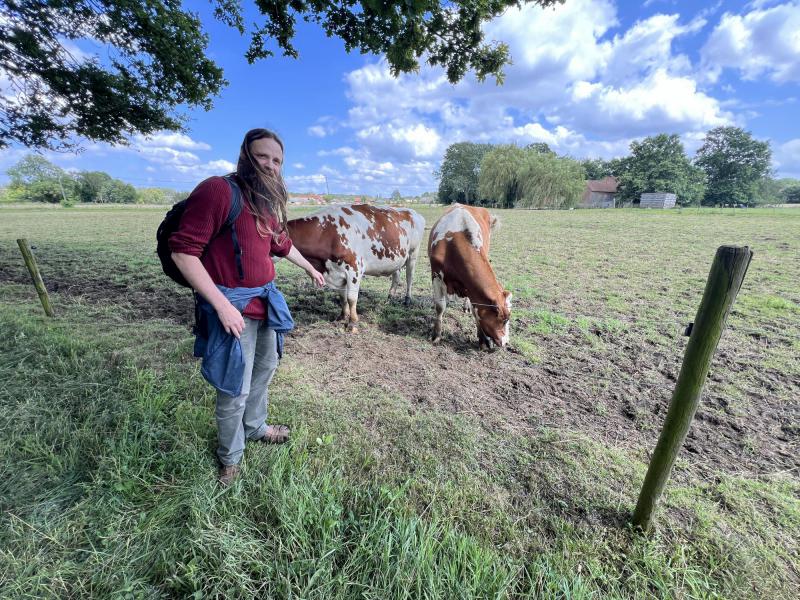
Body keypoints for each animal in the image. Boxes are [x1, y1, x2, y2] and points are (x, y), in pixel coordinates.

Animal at [288, 204, 424, 330]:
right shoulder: (338, 272)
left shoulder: (354, 270)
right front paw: (342, 316)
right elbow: (342, 297)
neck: (326, 231)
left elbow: (351, 298)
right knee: (396, 277)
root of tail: (412, 212)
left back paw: (407, 299)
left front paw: (352, 322)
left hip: (413, 254)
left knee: (409, 277)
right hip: (395, 259)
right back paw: (389, 298)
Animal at [424, 204, 512, 350]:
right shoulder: (436, 275)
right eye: (503, 319)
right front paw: (436, 335)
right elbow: (440, 306)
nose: (506, 342)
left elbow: (475, 309)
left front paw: (483, 339)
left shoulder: (472, 289)